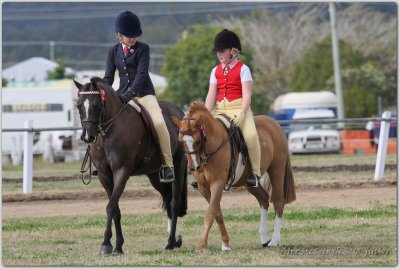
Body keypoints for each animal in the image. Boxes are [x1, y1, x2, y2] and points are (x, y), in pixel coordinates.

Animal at [73, 77, 188, 253]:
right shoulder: (104, 175)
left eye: (96, 105)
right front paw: (118, 246)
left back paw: (170, 244)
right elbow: (115, 208)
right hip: (154, 175)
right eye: (79, 105)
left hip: (179, 167)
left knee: (174, 203)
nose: (88, 137)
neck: (108, 132)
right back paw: (174, 240)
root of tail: (179, 112)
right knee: (167, 200)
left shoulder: (122, 171)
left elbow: (111, 206)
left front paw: (106, 244)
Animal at [170, 101, 296, 250]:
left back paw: (274, 240)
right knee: (264, 200)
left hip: (277, 171)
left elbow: (210, 214)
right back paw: (264, 238)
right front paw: (225, 244)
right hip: (249, 183)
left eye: (197, 140)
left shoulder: (217, 184)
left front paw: (202, 245)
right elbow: (217, 213)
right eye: (181, 140)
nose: (193, 167)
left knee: (278, 202)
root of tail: (274, 124)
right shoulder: (203, 187)